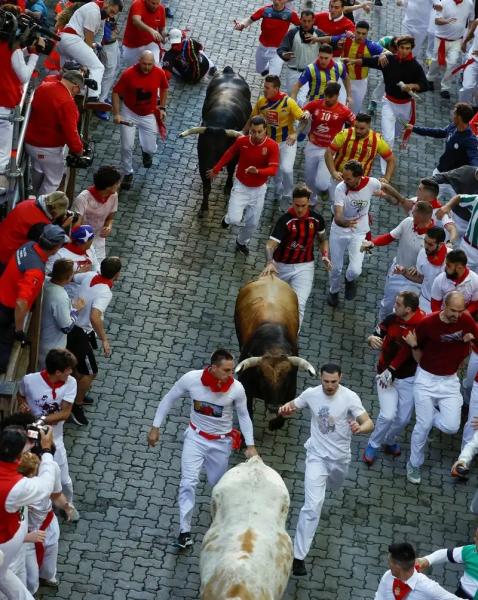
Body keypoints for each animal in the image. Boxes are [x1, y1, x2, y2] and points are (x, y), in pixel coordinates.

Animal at [179, 67, 252, 217]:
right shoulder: (202, 163)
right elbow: (206, 187)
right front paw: (203, 208)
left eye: (221, 149)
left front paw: (228, 187)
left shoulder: (233, 156)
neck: (219, 122)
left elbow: (231, 171)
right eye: (204, 146)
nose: (211, 167)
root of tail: (229, 71)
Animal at [233, 274, 316, 428]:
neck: (274, 348)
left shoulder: (291, 389)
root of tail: (270, 276)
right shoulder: (246, 390)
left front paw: (276, 423)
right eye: (263, 377)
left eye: (285, 378)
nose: (273, 407)